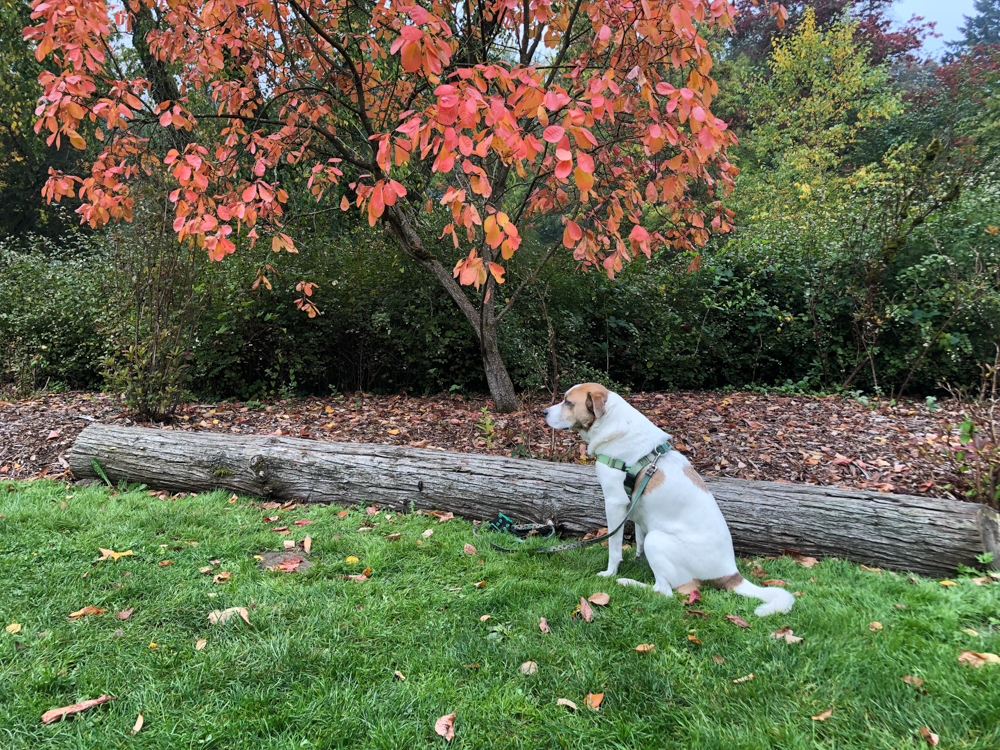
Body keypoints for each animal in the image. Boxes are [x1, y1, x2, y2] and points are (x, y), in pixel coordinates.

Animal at [544, 388, 792, 616]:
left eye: (567, 402)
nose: (544, 411)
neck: (613, 424)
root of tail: (731, 573)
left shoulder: (615, 503)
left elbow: (614, 547)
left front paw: (610, 573)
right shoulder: (636, 511)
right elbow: (638, 538)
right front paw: (637, 559)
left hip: (657, 540)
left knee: (664, 591)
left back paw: (628, 583)